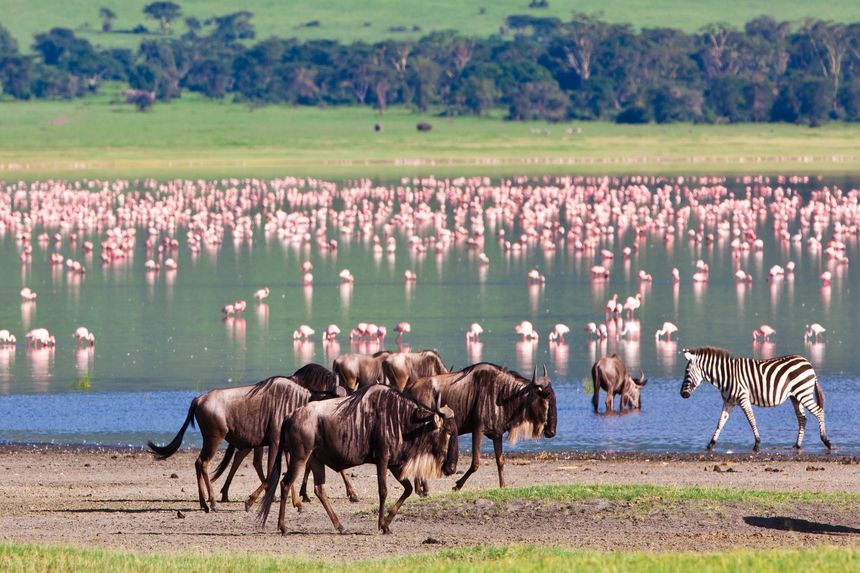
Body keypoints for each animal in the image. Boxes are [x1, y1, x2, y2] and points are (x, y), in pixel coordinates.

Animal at [680, 344, 828, 452]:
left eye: (686, 372)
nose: (682, 394)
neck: (726, 376)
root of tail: (807, 363)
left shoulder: (743, 399)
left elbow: (751, 420)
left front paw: (757, 444)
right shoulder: (729, 402)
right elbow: (720, 423)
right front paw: (710, 444)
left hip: (804, 393)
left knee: (819, 412)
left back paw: (826, 441)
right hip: (796, 397)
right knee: (802, 418)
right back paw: (797, 445)